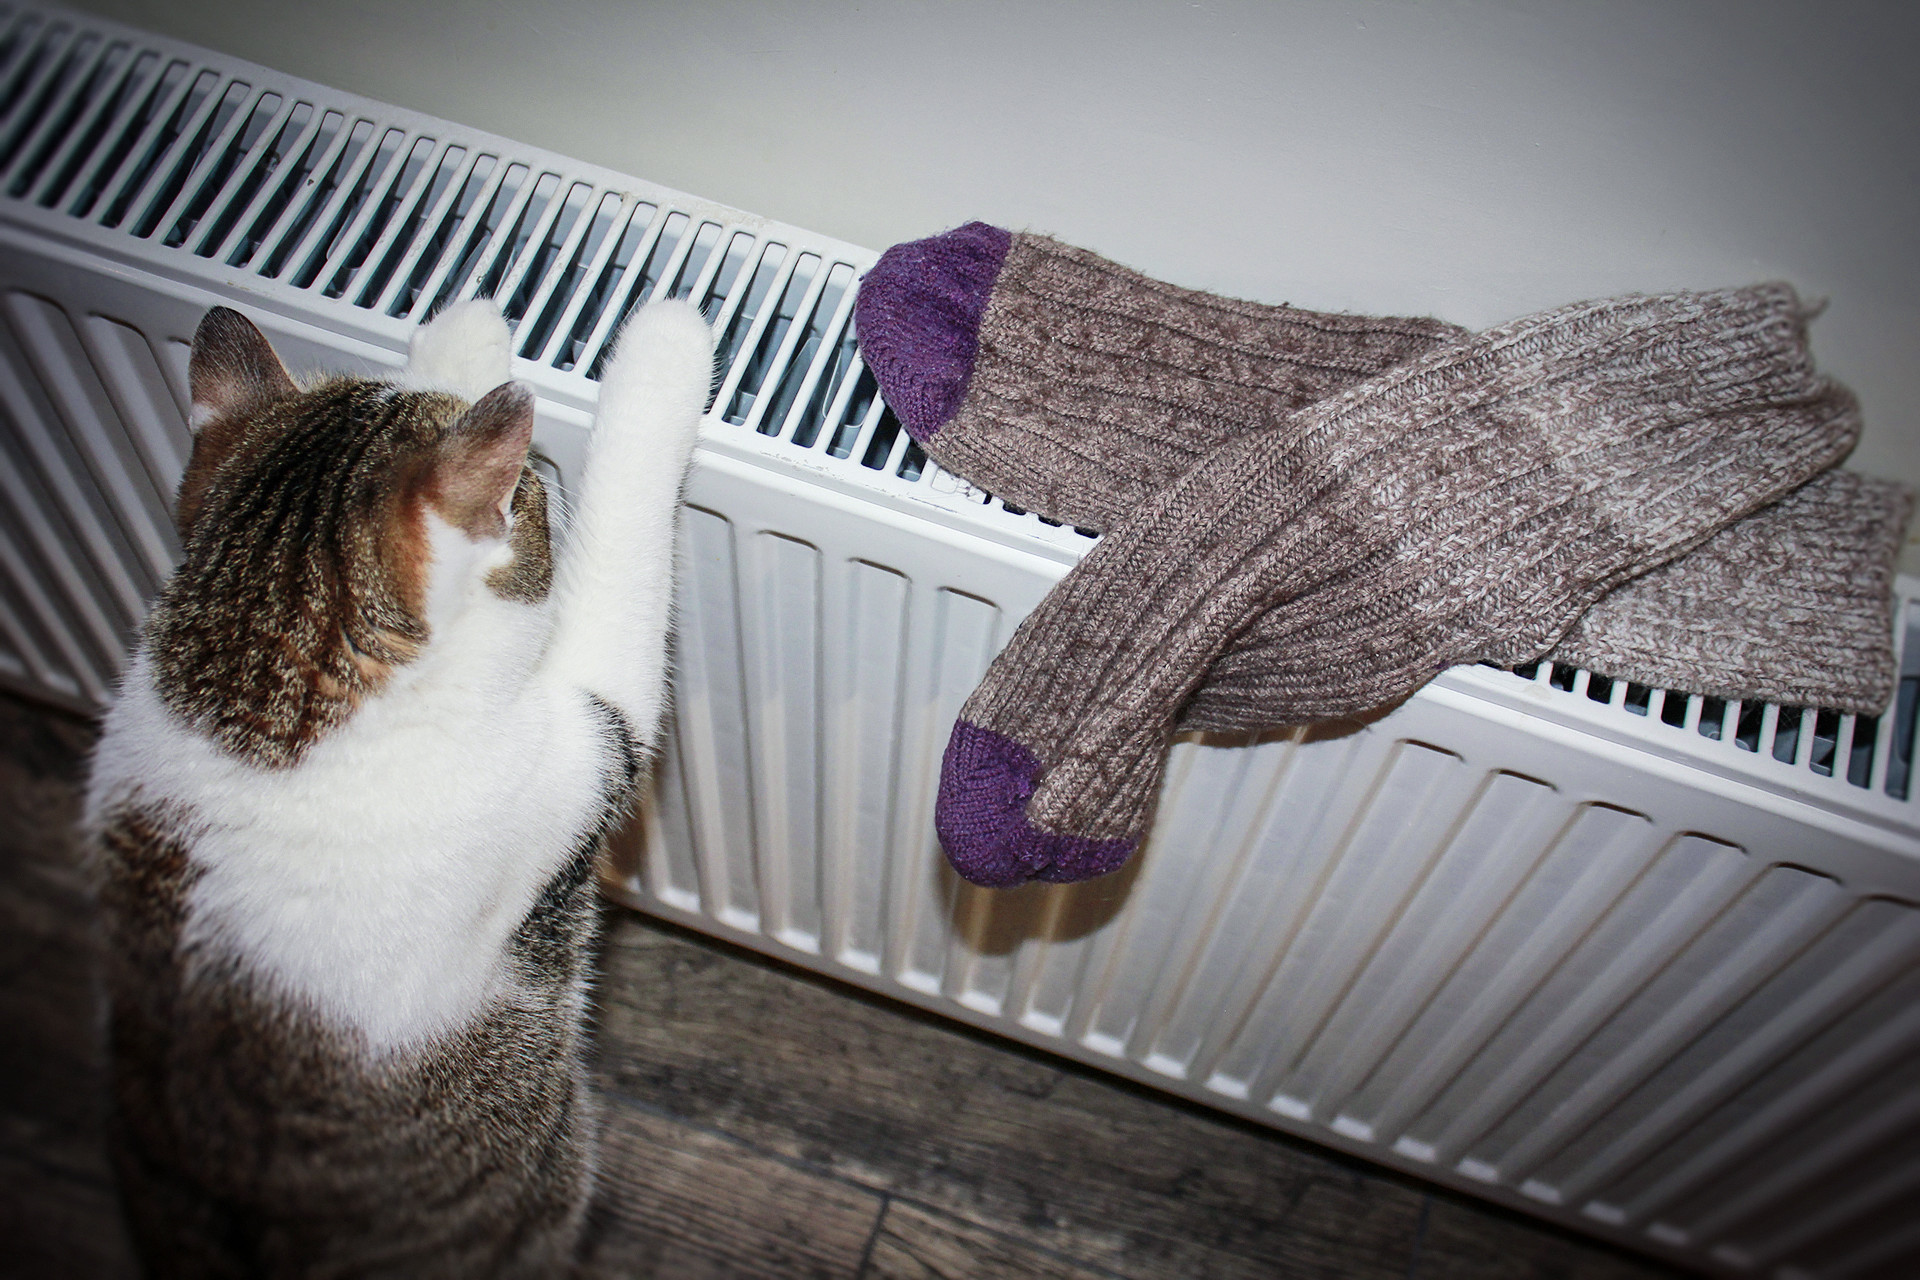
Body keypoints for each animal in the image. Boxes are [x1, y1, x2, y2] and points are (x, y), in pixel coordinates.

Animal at [82, 295, 714, 1274]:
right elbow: (617, 567)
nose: (539, 480)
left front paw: (461, 335)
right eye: (532, 491)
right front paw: (664, 349)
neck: (258, 715)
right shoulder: (569, 768)